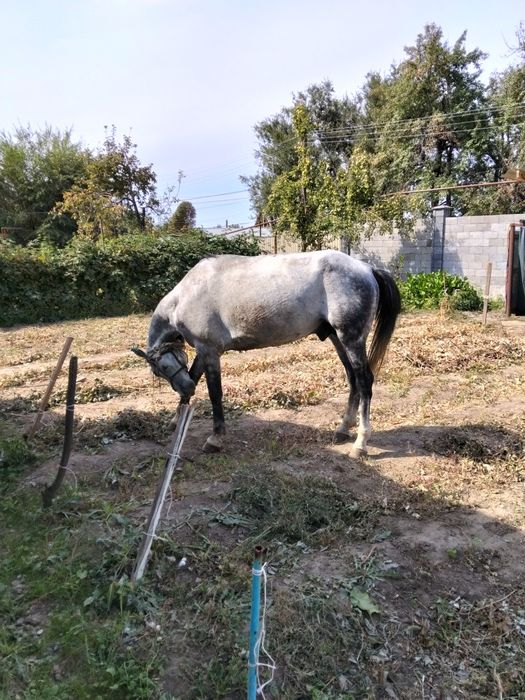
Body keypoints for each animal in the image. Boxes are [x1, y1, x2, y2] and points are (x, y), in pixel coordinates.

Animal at [132, 250, 401, 458]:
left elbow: (215, 394)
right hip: (338, 339)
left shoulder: (210, 351)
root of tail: (367, 268)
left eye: (162, 369)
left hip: (351, 338)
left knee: (364, 381)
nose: (184, 386)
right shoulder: (203, 350)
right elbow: (195, 377)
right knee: (353, 379)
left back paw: (360, 444)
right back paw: (343, 429)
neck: (187, 294)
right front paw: (175, 421)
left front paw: (215, 438)